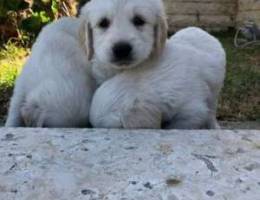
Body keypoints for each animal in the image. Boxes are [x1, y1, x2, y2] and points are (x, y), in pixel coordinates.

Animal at [80, 0, 225, 128]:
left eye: (139, 20)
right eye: (103, 23)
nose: (121, 49)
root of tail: (197, 29)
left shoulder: (192, 111)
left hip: (215, 93)